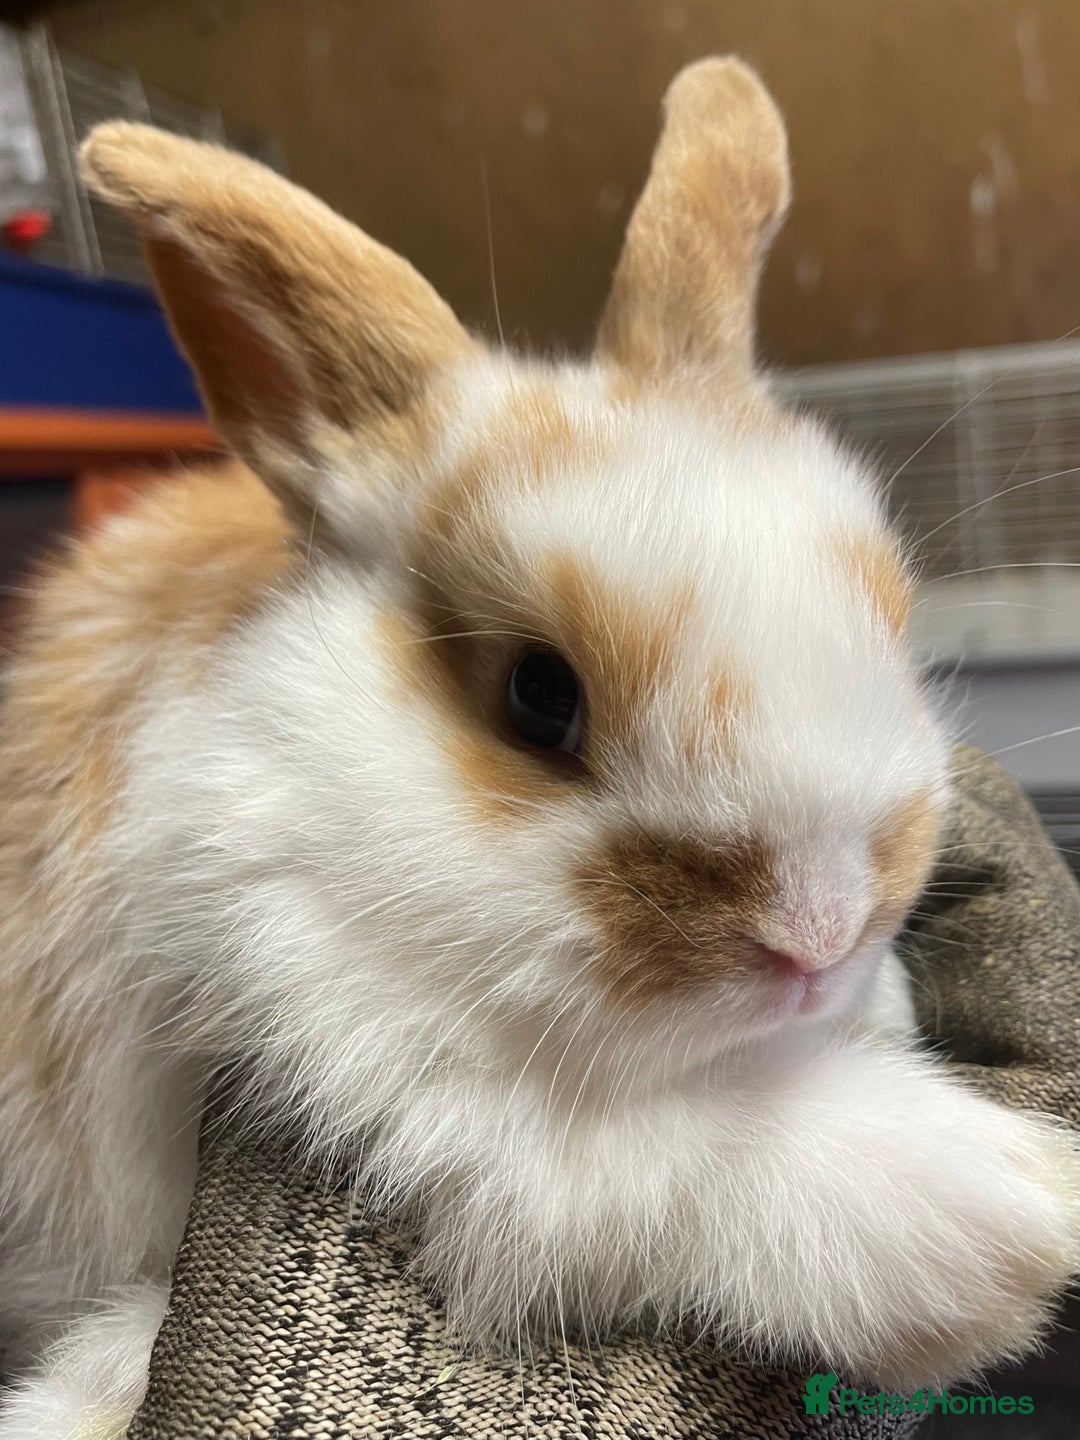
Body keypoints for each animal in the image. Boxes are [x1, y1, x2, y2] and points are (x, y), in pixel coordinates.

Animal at [1, 55, 1079, 1439]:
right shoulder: (417, 1090)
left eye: (892, 618)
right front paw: (1019, 1211)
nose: (820, 931)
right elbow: (650, 1162)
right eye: (538, 696)